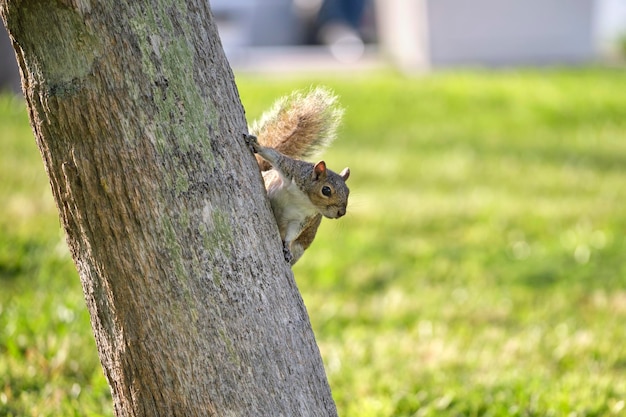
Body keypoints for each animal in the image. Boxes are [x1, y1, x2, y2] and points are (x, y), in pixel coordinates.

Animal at [244, 86, 348, 264]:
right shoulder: (292, 170)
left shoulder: (302, 219)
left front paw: (286, 247)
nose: (341, 213)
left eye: (348, 192)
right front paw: (256, 145)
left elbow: (292, 233)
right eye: (326, 190)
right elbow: (276, 157)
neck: (303, 199)